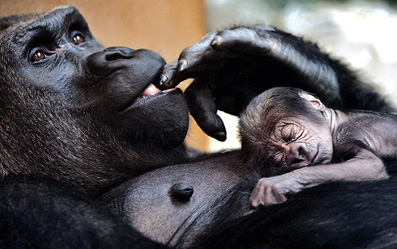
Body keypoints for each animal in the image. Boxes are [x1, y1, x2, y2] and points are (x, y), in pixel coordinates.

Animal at [238, 86, 390, 207]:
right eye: (279, 157)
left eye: (289, 134)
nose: (295, 153)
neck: (334, 123)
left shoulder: (343, 136)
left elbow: (370, 164)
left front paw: (280, 183)